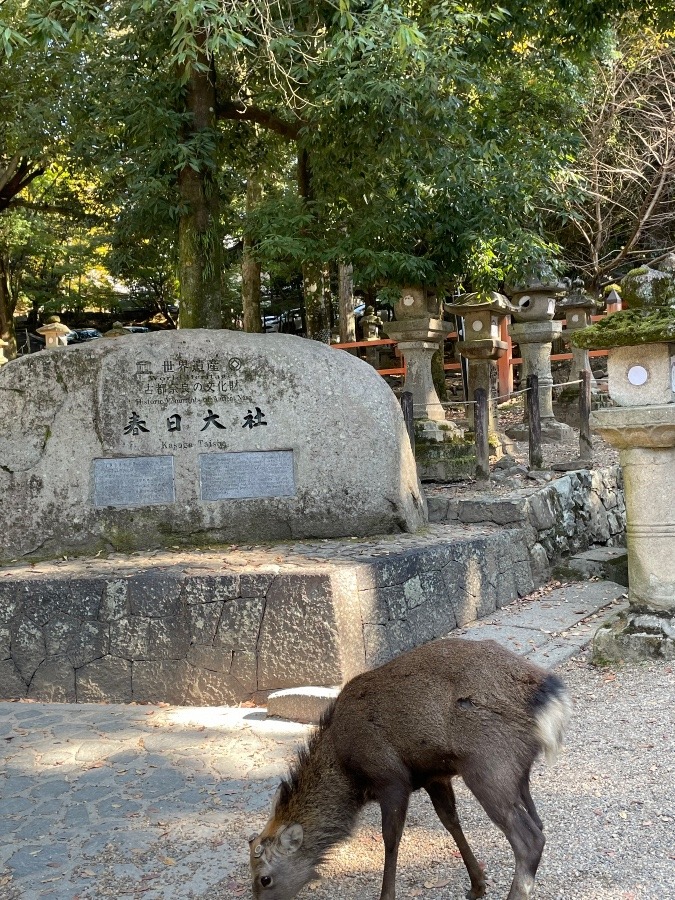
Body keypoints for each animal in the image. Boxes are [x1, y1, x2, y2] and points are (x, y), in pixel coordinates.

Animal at [251, 636, 572, 896]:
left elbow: (391, 839)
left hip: (489, 766)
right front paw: (477, 884)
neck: (347, 770)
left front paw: (386, 895)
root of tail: (548, 698)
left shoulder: (391, 778)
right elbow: (450, 821)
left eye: (264, 879)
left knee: (529, 840)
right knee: (539, 823)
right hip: (518, 772)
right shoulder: (434, 777)